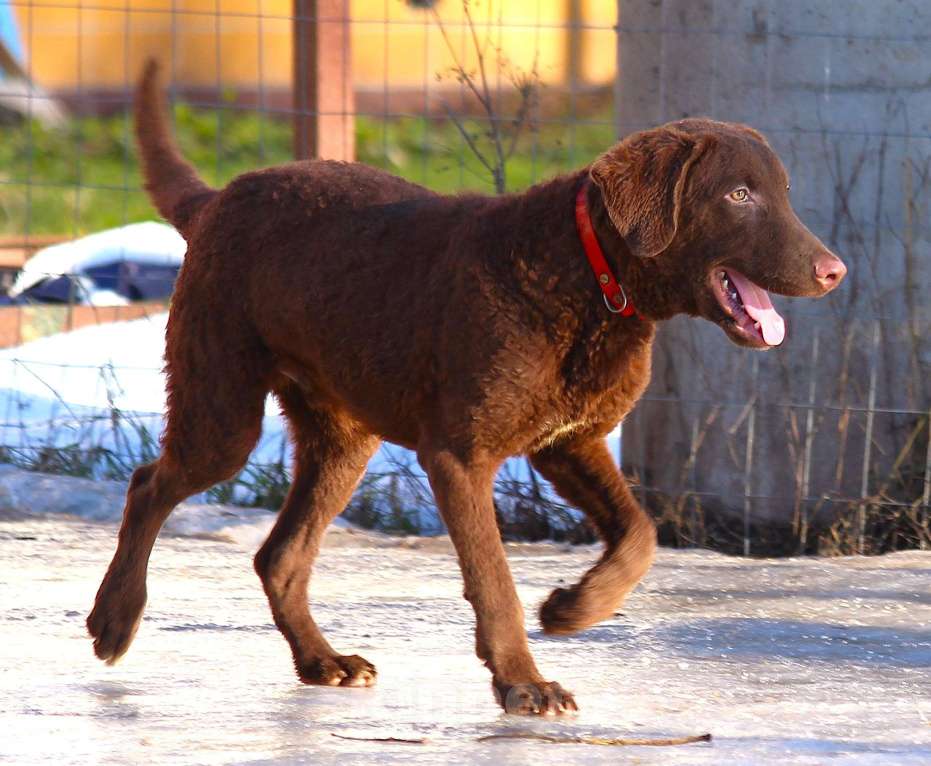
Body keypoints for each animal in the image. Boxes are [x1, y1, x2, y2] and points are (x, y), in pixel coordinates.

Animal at [85, 63, 844, 716]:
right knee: (149, 485)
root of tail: (218, 197)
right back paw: (115, 619)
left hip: (342, 439)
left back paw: (323, 662)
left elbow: (639, 534)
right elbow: (494, 580)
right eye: (739, 195)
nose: (834, 271)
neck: (588, 277)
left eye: (782, 192)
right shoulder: (460, 455)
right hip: (223, 407)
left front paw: (574, 608)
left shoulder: (569, 442)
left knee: (279, 556)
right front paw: (524, 684)